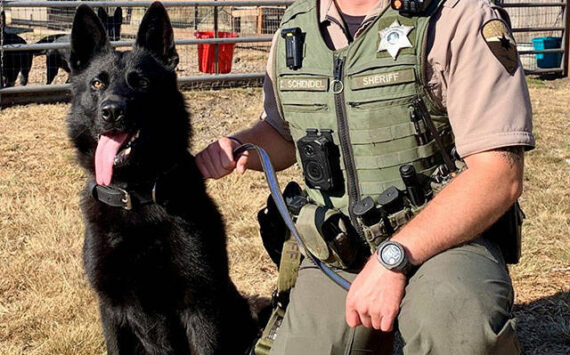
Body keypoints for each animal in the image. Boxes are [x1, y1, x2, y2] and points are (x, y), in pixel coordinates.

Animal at [65, 2, 256, 354]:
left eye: (140, 82)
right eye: (97, 84)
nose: (112, 111)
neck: (134, 195)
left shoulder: (201, 308)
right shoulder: (111, 310)